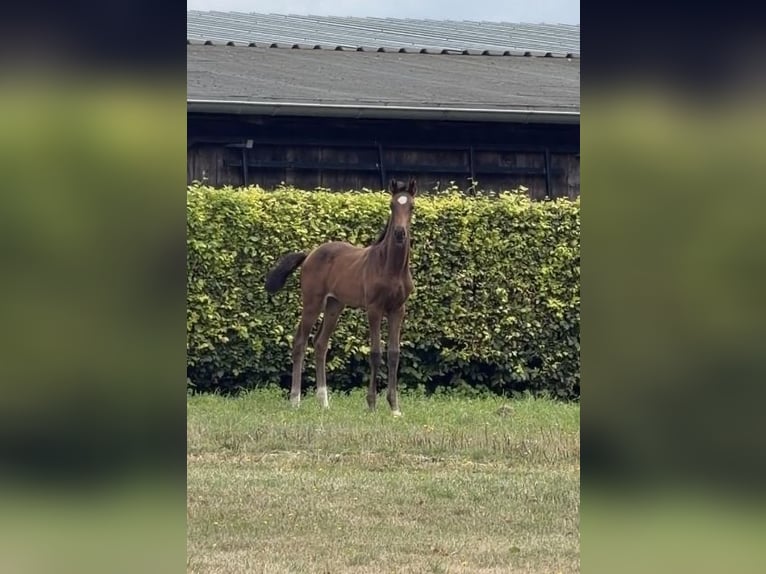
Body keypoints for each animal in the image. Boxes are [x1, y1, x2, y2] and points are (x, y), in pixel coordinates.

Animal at [264, 178, 417, 416]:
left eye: (412, 206)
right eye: (392, 205)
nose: (400, 233)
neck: (391, 267)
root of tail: (309, 254)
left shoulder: (397, 310)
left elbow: (394, 353)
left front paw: (394, 408)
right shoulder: (374, 309)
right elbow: (375, 353)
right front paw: (371, 404)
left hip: (334, 305)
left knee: (320, 343)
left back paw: (324, 402)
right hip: (312, 303)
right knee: (300, 342)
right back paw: (295, 400)